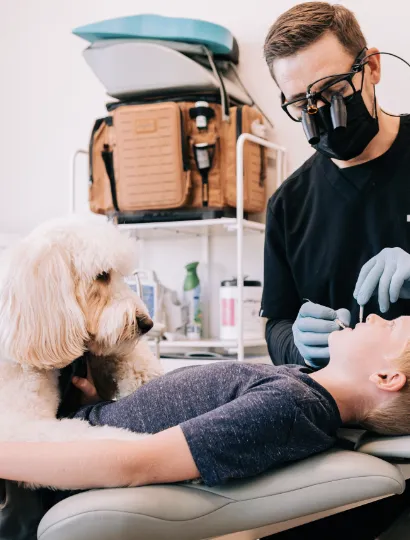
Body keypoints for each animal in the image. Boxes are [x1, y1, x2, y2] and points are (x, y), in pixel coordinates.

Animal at [0, 217, 163, 488]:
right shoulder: (20, 429)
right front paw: (141, 444)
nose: (147, 324)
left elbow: (124, 356)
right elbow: (91, 438)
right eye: (102, 275)